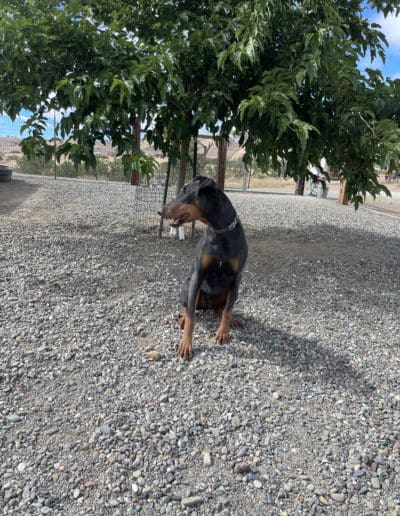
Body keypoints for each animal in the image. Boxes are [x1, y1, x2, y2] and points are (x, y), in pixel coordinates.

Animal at [159, 175, 247, 356]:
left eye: (185, 191)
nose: (160, 210)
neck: (220, 231)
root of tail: (207, 305)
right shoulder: (198, 275)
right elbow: (191, 316)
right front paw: (186, 344)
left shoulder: (237, 277)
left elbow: (228, 310)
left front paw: (223, 333)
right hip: (188, 285)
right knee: (188, 308)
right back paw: (182, 319)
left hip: (232, 291)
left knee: (223, 307)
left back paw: (233, 319)